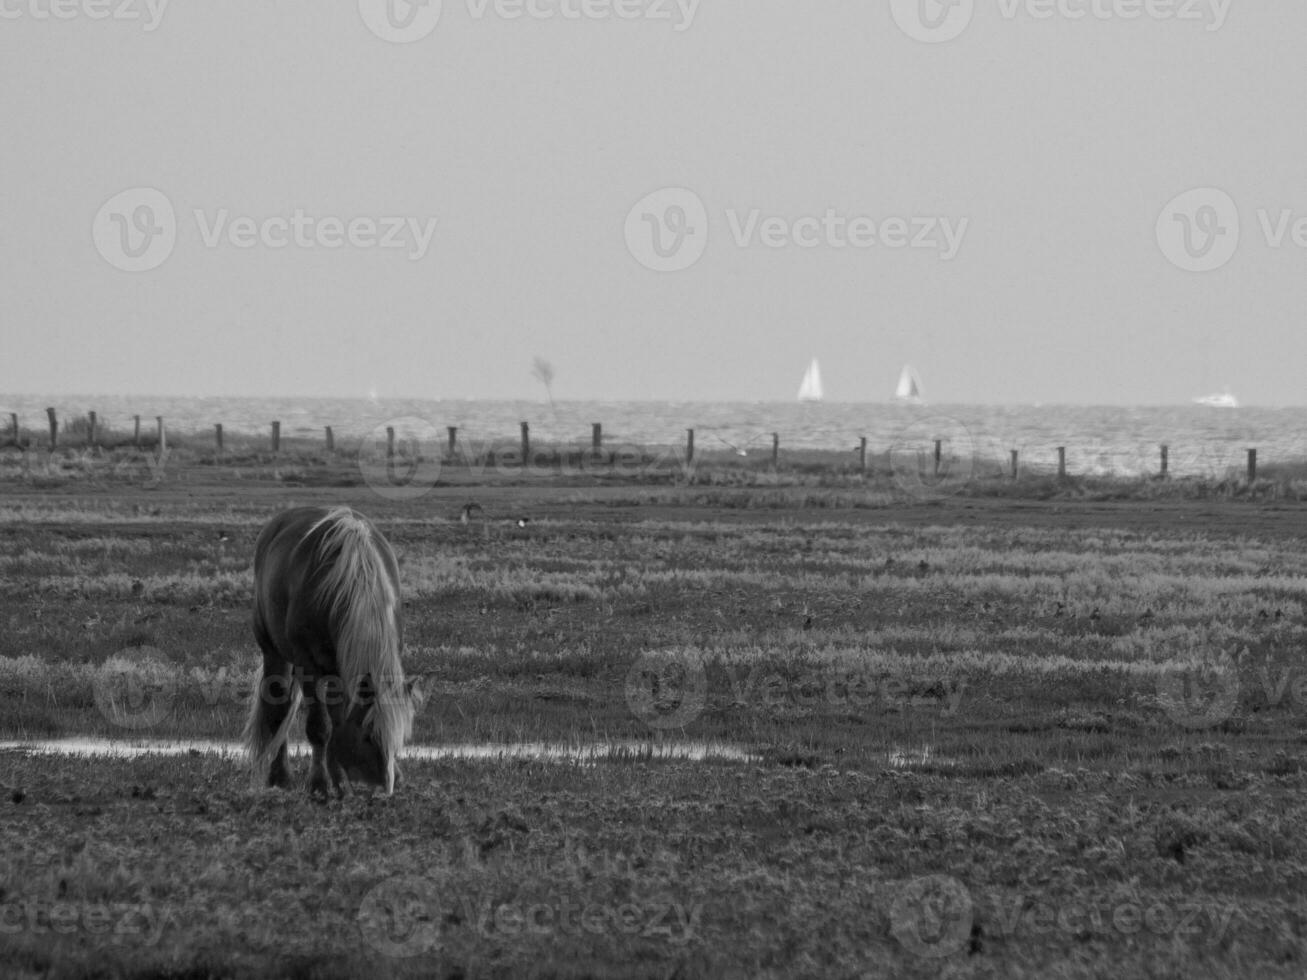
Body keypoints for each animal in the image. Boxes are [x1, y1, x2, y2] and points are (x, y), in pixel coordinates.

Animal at [245, 506, 423, 799]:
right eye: (368, 736)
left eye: (399, 738)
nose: (384, 788)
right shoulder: (308, 667)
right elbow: (319, 727)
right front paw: (319, 784)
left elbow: (337, 721)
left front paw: (340, 780)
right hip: (274, 653)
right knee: (278, 709)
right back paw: (280, 776)